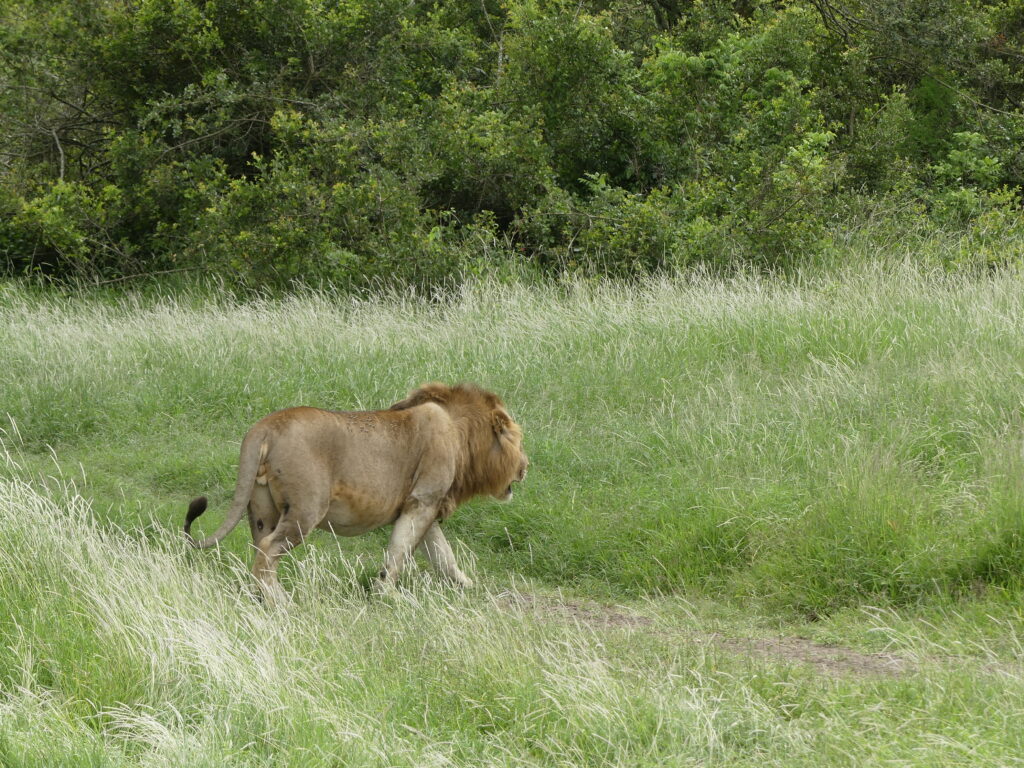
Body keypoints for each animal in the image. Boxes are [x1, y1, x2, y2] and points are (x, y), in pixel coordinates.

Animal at [184, 383, 528, 602]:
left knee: (259, 552)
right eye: (518, 442)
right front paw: (389, 596)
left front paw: (468, 586)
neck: (461, 434)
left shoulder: (425, 506)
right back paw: (281, 603)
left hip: (261, 510)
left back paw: (264, 598)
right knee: (269, 550)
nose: (527, 465)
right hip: (306, 509)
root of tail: (264, 427)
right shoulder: (422, 501)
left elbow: (443, 556)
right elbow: (398, 554)